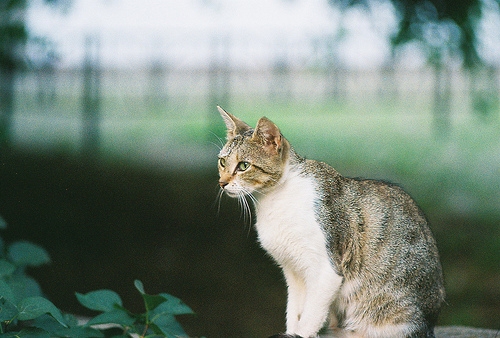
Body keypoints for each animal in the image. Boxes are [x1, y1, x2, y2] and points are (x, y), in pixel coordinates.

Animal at [215, 106, 446, 338]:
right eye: (222, 162)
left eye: (244, 166)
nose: (222, 183)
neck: (275, 199)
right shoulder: (292, 270)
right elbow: (294, 313)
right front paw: (291, 331)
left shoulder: (327, 270)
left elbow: (309, 318)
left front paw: (302, 332)